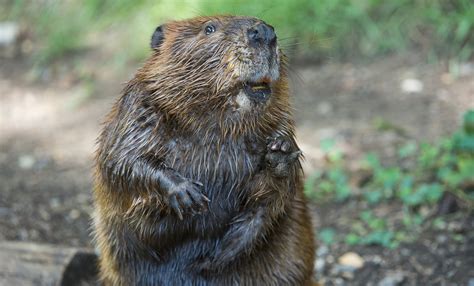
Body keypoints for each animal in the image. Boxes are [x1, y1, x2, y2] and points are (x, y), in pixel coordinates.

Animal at [92, 15, 314, 286]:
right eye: (209, 28)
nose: (264, 31)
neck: (220, 128)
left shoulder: (282, 122)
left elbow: (269, 202)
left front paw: (280, 151)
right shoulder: (137, 110)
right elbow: (121, 159)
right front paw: (187, 194)